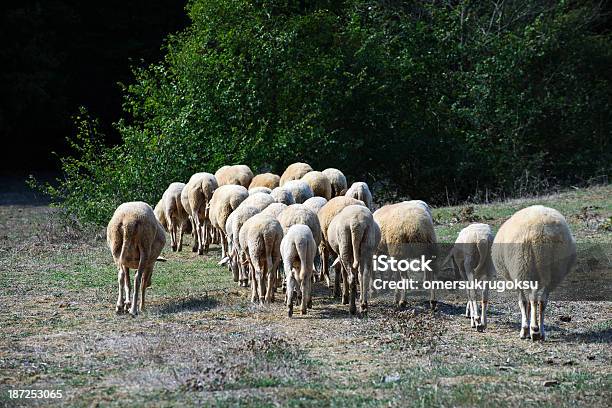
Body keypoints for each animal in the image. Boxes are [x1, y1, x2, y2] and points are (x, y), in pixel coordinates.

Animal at [492, 204, 572, 342]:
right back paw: (541, 332)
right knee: (542, 302)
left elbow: (523, 303)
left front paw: (525, 330)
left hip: (524, 266)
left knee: (532, 299)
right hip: (554, 271)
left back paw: (533, 329)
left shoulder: (517, 278)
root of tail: (540, 233)